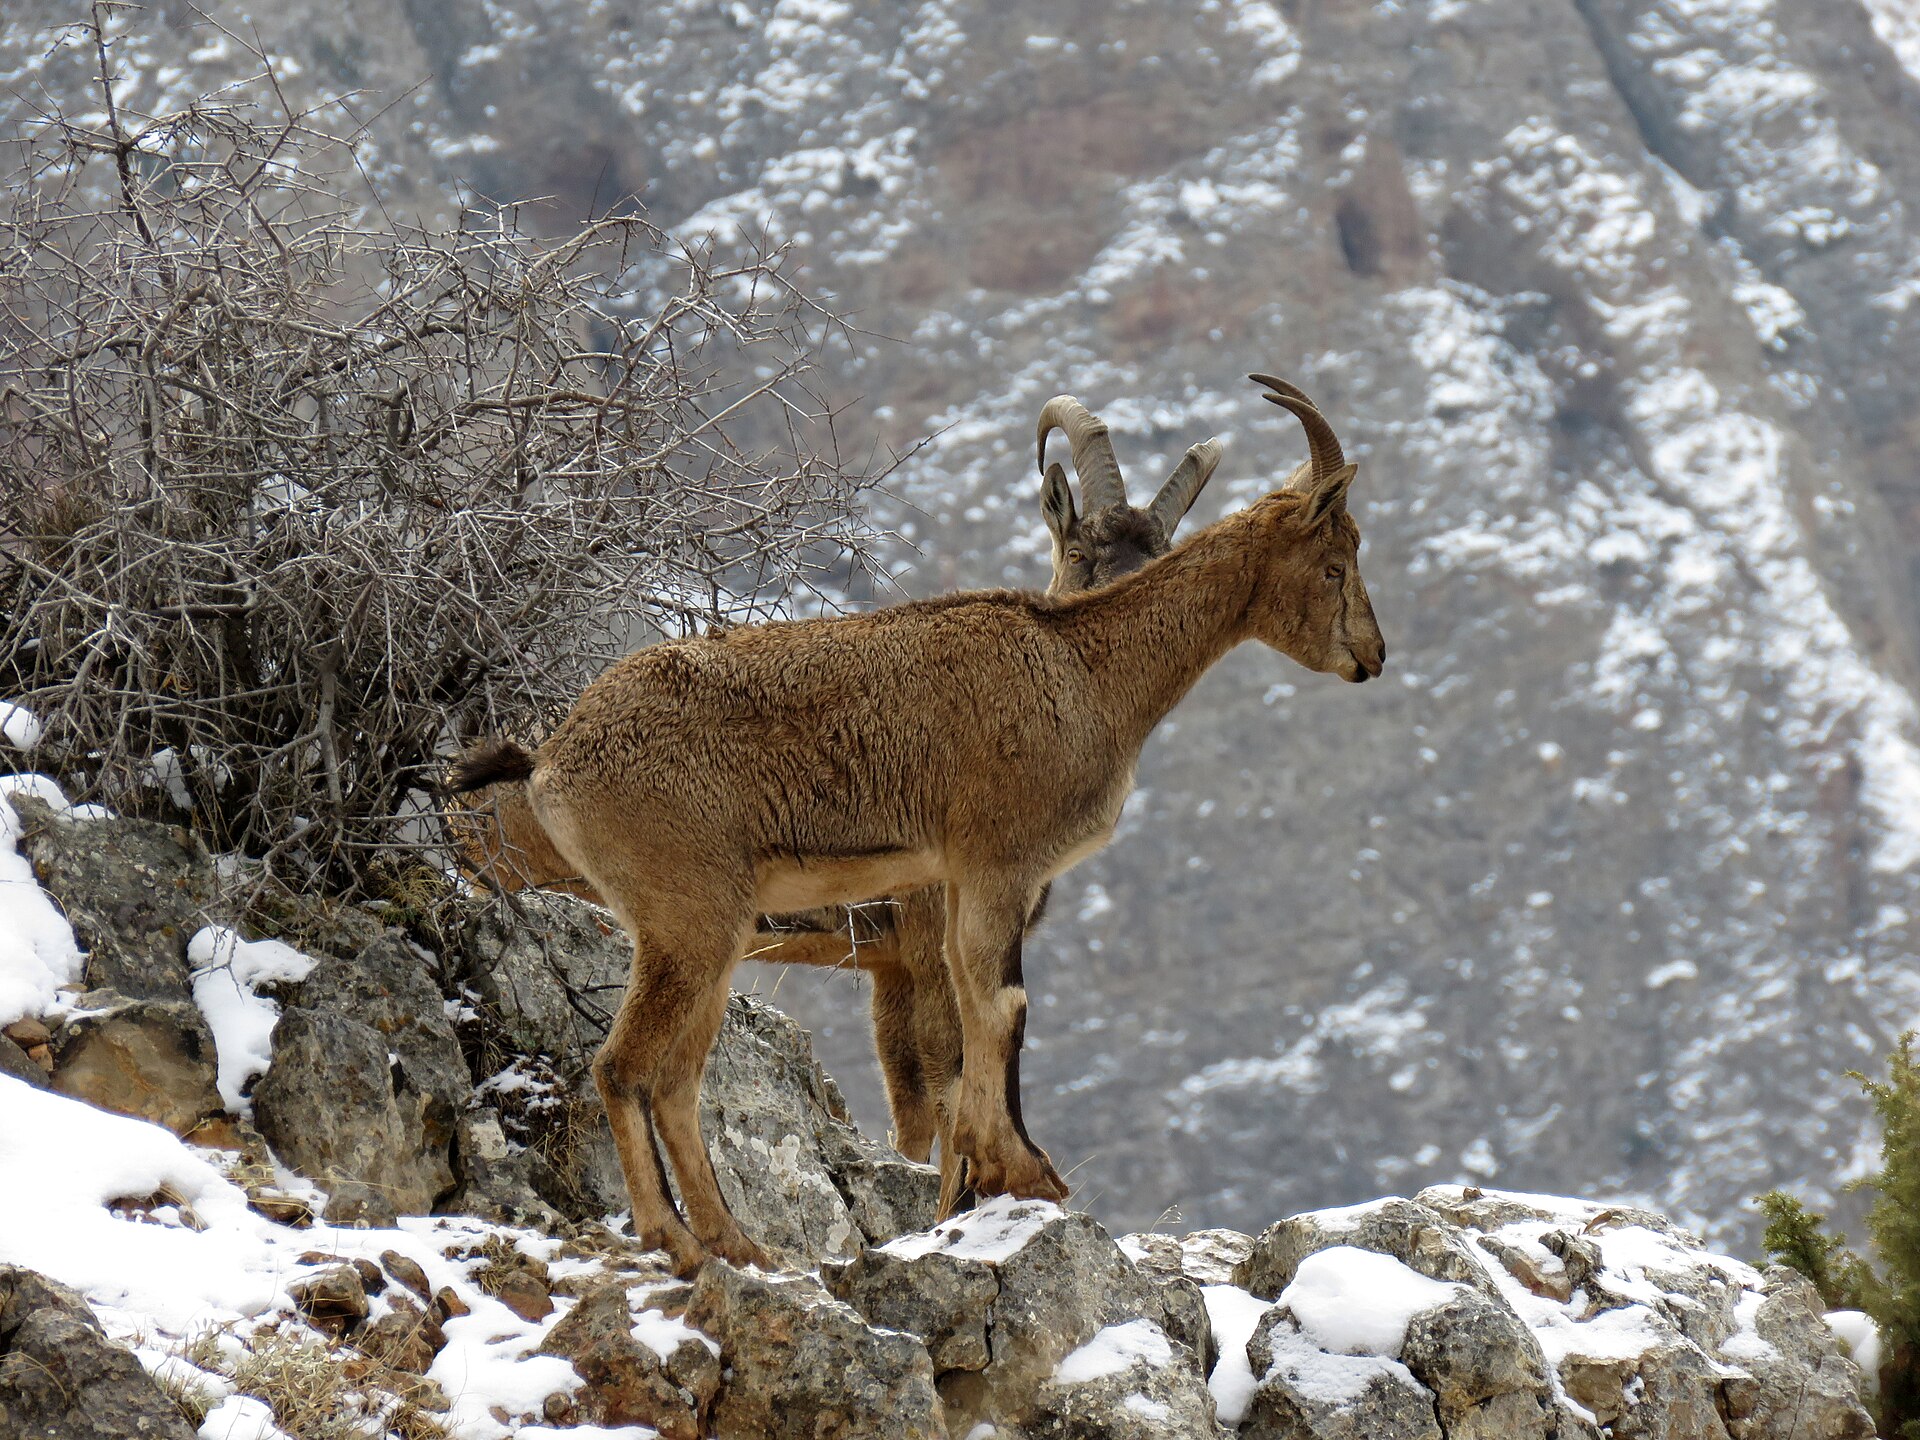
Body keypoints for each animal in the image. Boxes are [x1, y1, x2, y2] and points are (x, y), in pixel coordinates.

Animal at [447, 374, 1384, 1274]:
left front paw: (991, 1175)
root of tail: (554, 757)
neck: (1085, 668)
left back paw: (737, 1244)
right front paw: (1020, 1173)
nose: (1372, 657)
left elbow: (975, 1022)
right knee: (624, 1067)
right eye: (1337, 562)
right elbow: (997, 1014)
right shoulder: (993, 870)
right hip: (688, 920)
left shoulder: (950, 900)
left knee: (676, 1078)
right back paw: (673, 1241)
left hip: (707, 938)